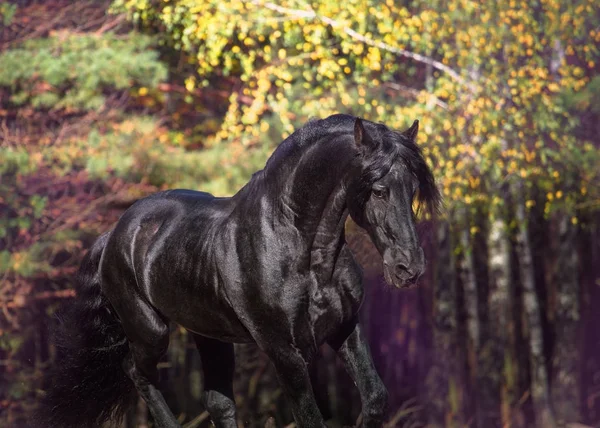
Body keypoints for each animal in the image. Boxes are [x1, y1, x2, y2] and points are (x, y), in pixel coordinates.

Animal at [38, 114, 440, 428]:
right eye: (379, 190)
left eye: (413, 188)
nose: (409, 267)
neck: (300, 246)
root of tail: (114, 233)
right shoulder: (284, 351)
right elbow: (311, 418)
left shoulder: (345, 328)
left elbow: (374, 399)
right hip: (149, 331)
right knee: (138, 374)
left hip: (210, 335)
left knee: (218, 403)